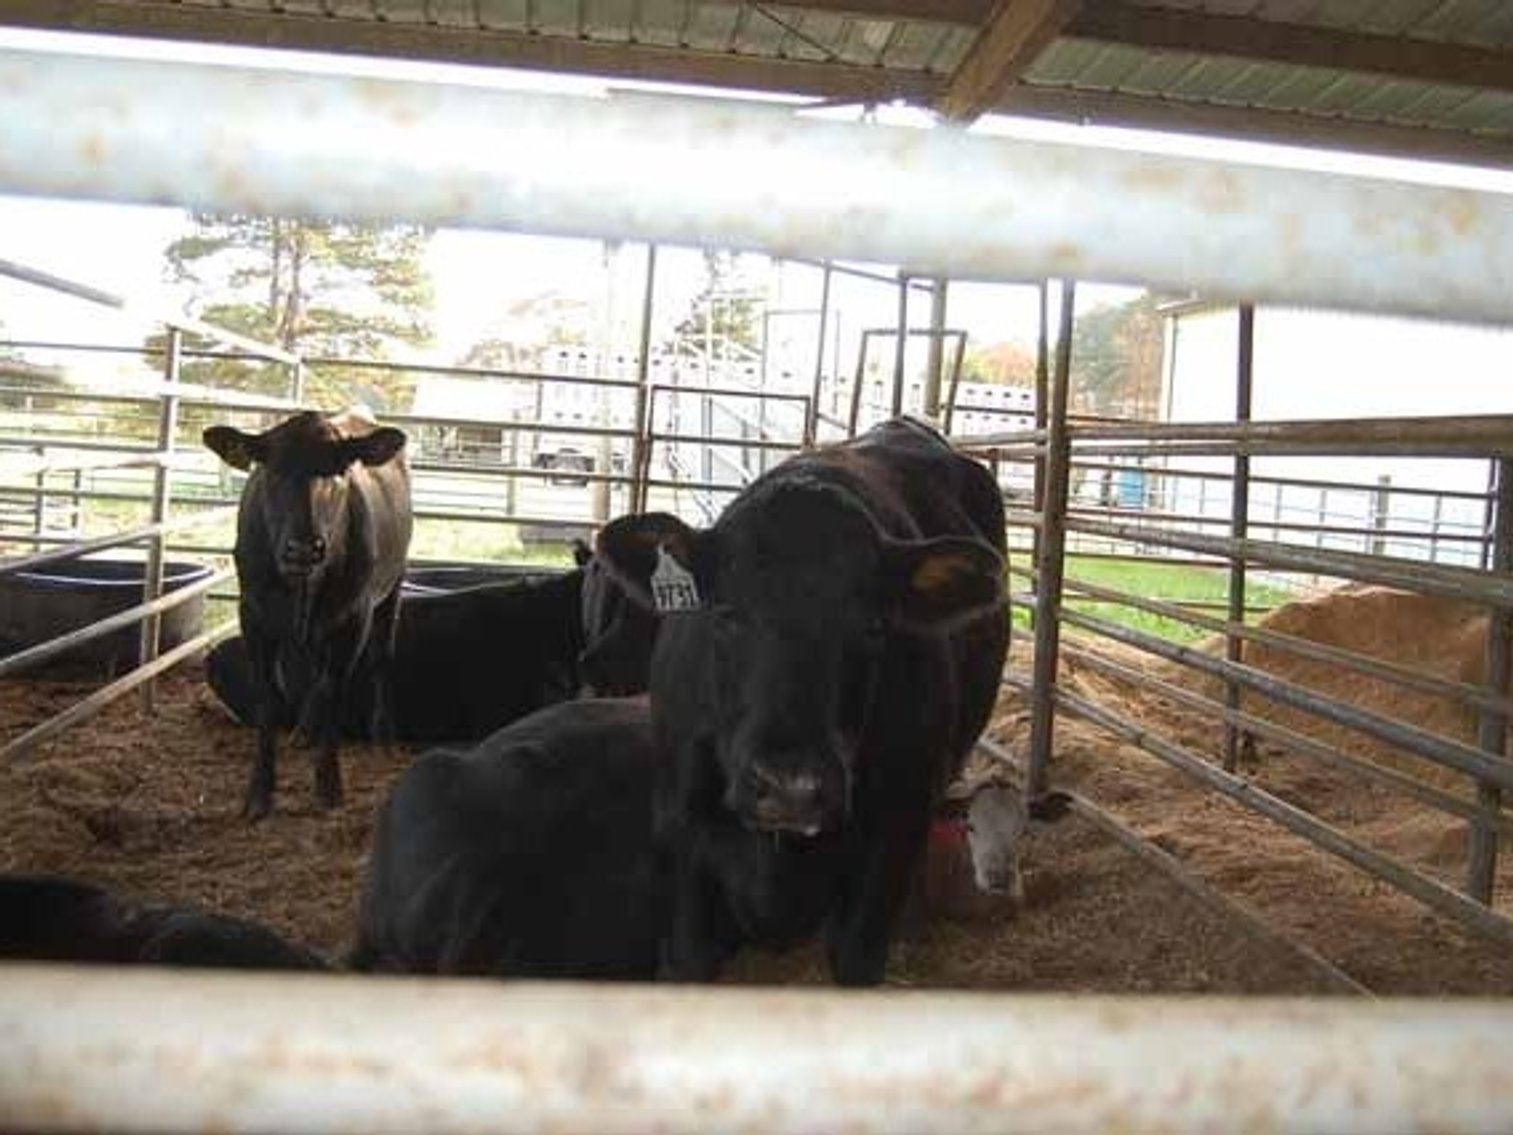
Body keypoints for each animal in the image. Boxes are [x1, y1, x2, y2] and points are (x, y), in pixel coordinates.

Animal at [204, 408, 412, 819]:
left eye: (338, 470)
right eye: (271, 469)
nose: (303, 549)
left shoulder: (353, 616)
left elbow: (333, 689)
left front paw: (328, 786)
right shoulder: (252, 614)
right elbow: (269, 695)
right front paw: (259, 793)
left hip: (392, 586)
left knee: (380, 657)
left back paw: (382, 736)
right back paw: (302, 732)